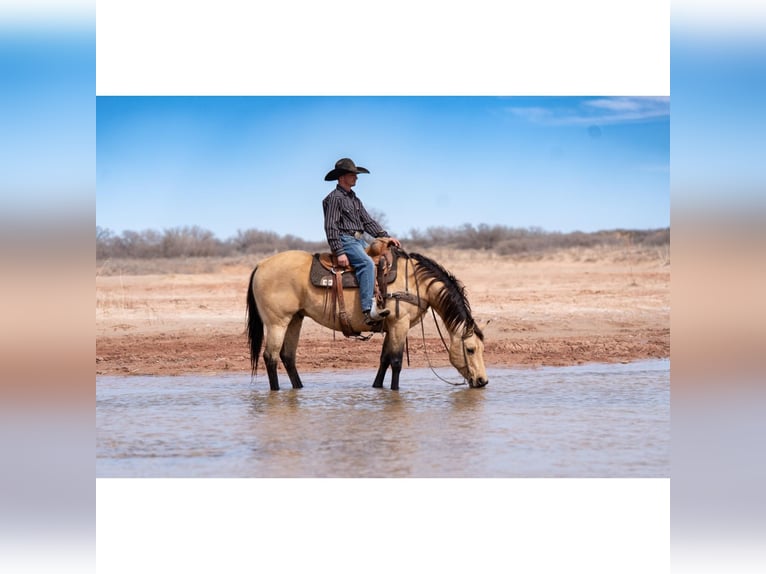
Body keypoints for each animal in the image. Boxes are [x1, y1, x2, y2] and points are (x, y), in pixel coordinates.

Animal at [246, 243, 488, 392]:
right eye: (470, 349)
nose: (483, 381)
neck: (415, 281)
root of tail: (260, 265)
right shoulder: (399, 324)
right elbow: (396, 361)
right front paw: (395, 391)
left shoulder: (391, 326)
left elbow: (384, 359)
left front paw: (378, 388)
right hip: (277, 323)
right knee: (270, 357)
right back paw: (276, 392)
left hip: (295, 319)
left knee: (287, 357)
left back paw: (299, 389)